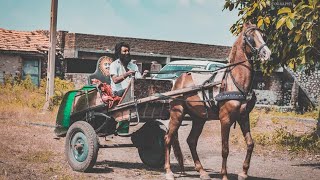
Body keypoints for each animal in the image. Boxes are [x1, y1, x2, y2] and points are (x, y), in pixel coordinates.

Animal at [164, 22, 272, 180]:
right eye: (251, 38)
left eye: (263, 36)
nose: (267, 54)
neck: (235, 81)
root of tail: (179, 79)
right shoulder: (225, 119)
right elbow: (225, 149)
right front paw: (225, 175)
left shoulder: (243, 117)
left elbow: (250, 143)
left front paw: (243, 173)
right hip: (177, 113)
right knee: (168, 138)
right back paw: (169, 171)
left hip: (199, 118)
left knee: (191, 141)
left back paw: (202, 171)